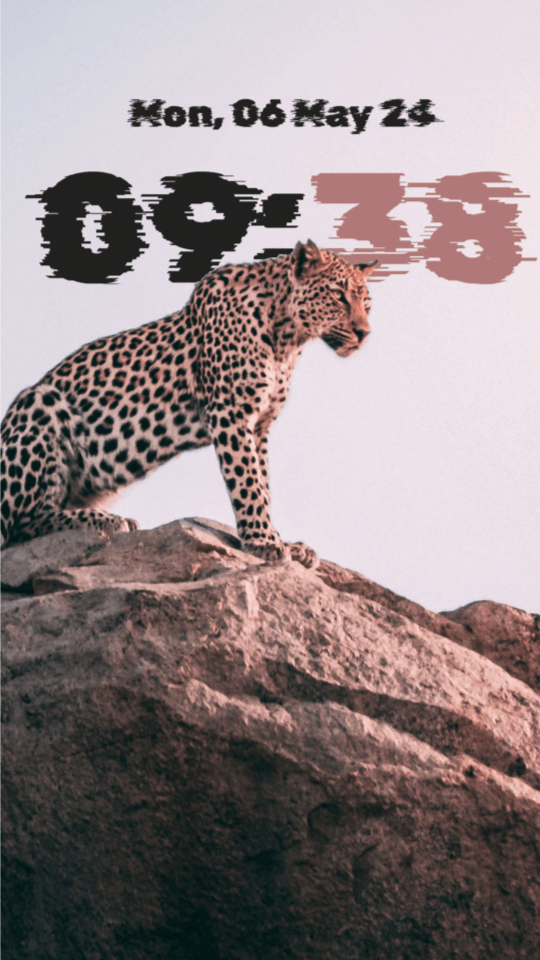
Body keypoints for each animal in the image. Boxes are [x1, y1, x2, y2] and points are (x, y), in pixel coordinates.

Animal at [0, 241, 376, 567]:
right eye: (338, 296)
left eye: (367, 303)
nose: (364, 333)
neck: (287, 338)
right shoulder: (230, 413)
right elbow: (248, 482)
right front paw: (264, 542)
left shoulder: (260, 425)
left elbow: (263, 483)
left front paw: (282, 541)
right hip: (39, 403)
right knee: (22, 523)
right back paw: (104, 520)